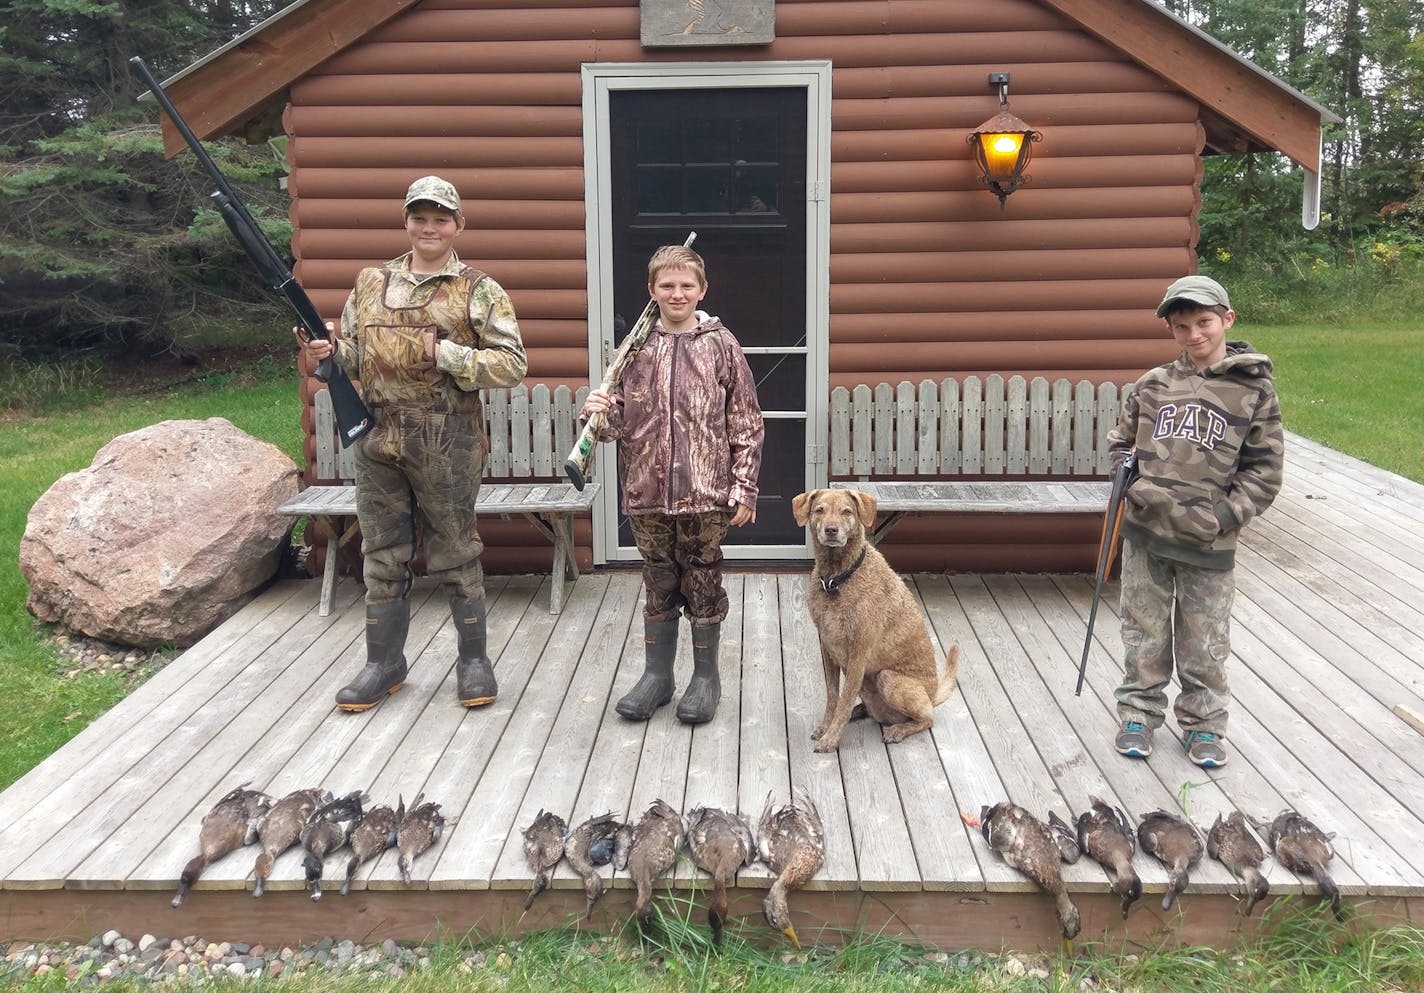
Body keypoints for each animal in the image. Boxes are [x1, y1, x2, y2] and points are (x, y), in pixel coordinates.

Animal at [791, 487, 956, 752]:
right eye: (819, 510)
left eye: (847, 511)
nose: (831, 530)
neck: (837, 579)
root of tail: (932, 695)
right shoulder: (827, 646)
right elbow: (833, 695)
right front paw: (826, 727)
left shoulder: (859, 651)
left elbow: (845, 698)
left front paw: (831, 738)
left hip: (888, 678)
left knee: (927, 719)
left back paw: (898, 730)